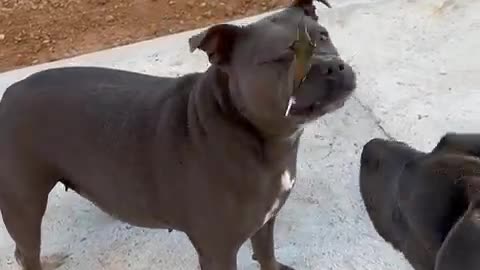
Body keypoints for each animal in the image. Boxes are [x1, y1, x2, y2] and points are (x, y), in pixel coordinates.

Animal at [0, 1, 354, 268]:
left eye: (323, 36)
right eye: (282, 57)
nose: (333, 66)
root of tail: (9, 93)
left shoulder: (265, 221)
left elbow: (266, 254)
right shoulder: (218, 250)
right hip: (23, 203)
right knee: (25, 251)